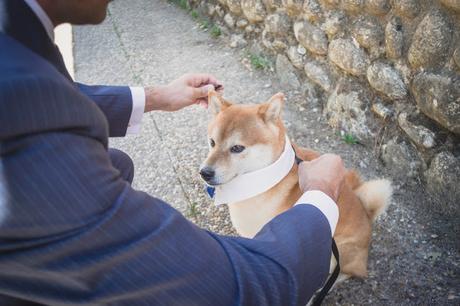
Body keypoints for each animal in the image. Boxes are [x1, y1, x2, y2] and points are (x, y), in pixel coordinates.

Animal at [200, 89, 392, 280]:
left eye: (237, 148)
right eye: (212, 142)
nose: (204, 172)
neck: (265, 180)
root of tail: (367, 218)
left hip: (334, 254)